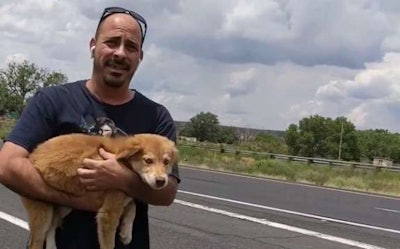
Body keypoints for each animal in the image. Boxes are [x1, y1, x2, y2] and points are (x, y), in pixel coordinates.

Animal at [21, 133, 177, 249]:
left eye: (166, 162)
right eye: (148, 160)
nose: (161, 181)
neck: (125, 164)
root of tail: (32, 155)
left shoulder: (123, 199)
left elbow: (132, 207)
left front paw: (126, 233)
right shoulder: (108, 213)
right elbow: (109, 243)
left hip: (64, 205)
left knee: (52, 225)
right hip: (42, 211)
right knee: (37, 240)